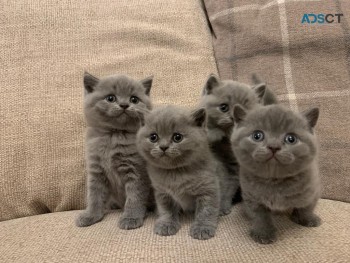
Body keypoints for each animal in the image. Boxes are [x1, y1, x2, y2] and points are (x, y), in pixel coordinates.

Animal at [75, 72, 153, 231]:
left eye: (134, 99)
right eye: (110, 98)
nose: (124, 105)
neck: (114, 135)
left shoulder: (137, 170)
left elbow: (135, 196)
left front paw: (131, 218)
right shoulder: (96, 170)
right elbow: (94, 195)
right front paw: (90, 215)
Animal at [136, 105, 220, 241]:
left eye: (177, 137)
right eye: (153, 137)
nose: (163, 147)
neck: (175, 172)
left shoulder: (209, 188)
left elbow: (206, 210)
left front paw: (202, 228)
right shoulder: (162, 192)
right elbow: (166, 210)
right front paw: (166, 224)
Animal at [231, 104, 322, 244]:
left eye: (291, 139)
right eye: (257, 135)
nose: (273, 146)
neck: (274, 180)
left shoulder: (313, 189)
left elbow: (307, 207)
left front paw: (308, 219)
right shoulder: (251, 197)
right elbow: (260, 216)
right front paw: (263, 233)